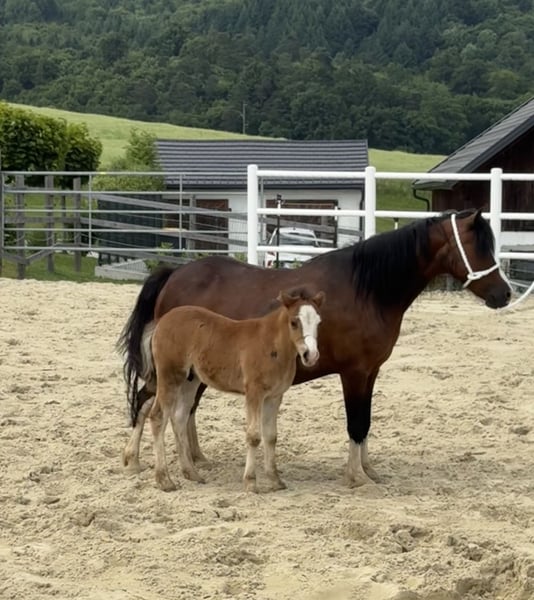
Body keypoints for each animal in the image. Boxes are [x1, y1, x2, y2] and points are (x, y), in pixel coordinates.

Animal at [137, 289, 324, 492]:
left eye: (318, 322)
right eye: (294, 322)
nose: (311, 355)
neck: (272, 346)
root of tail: (161, 321)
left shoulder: (274, 396)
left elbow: (271, 436)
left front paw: (275, 480)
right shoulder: (254, 393)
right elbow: (254, 436)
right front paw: (250, 482)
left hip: (190, 381)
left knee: (179, 418)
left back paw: (192, 473)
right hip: (170, 376)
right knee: (158, 416)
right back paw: (164, 480)